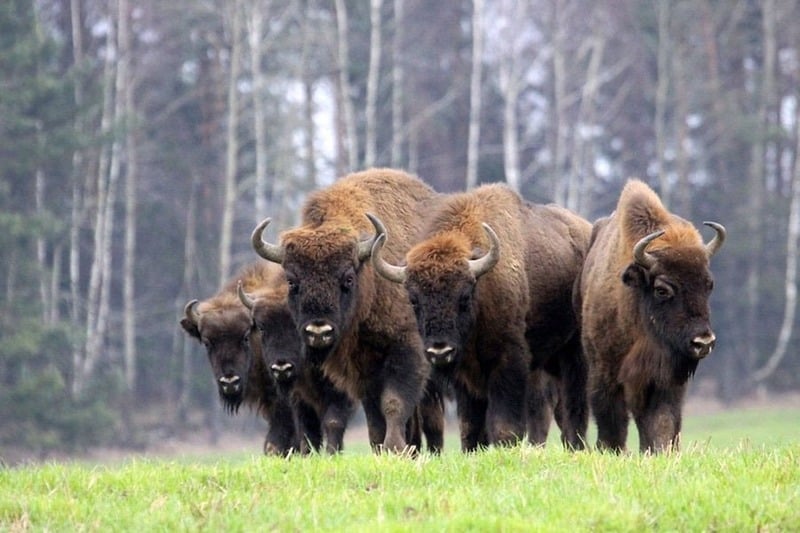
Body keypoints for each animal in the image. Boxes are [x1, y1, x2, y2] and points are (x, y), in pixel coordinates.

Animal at [250, 168, 442, 453]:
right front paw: (381, 448)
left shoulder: (408, 351)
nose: (319, 331)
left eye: (348, 278)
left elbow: (394, 403)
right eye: (292, 282)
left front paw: (395, 448)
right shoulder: (362, 372)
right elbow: (375, 416)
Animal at [371, 183, 592, 451]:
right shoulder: (466, 377)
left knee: (573, 404)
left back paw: (576, 444)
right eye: (414, 300)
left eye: (464, 296)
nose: (439, 351)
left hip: (573, 354)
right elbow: (471, 427)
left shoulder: (508, 361)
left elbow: (504, 425)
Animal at [575, 179, 725, 453]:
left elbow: (662, 422)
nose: (703, 342)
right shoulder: (604, 373)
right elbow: (612, 421)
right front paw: (610, 450)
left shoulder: (664, 380)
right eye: (662, 289)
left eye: (708, 284)